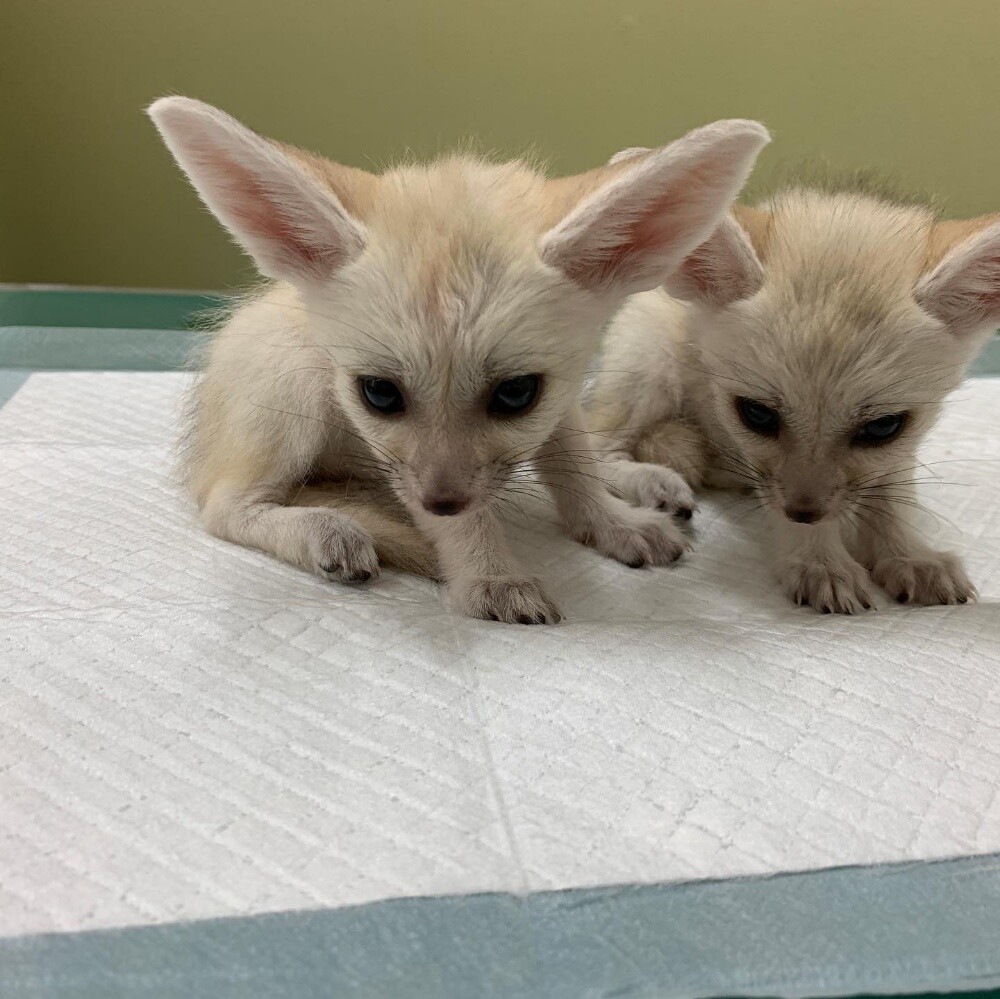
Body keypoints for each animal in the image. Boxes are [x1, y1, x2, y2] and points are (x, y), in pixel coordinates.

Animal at [147, 98, 769, 623]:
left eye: (516, 394)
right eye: (379, 393)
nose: (439, 503)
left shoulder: (559, 400)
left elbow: (575, 467)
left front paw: (610, 523)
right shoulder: (404, 465)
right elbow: (470, 514)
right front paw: (490, 577)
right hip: (293, 376)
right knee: (222, 507)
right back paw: (323, 528)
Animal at [590, 159, 1000, 614]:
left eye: (882, 428)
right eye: (757, 415)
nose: (805, 514)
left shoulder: (899, 446)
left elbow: (893, 500)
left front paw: (910, 556)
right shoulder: (765, 469)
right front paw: (819, 562)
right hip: (651, 366)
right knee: (596, 445)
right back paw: (650, 484)